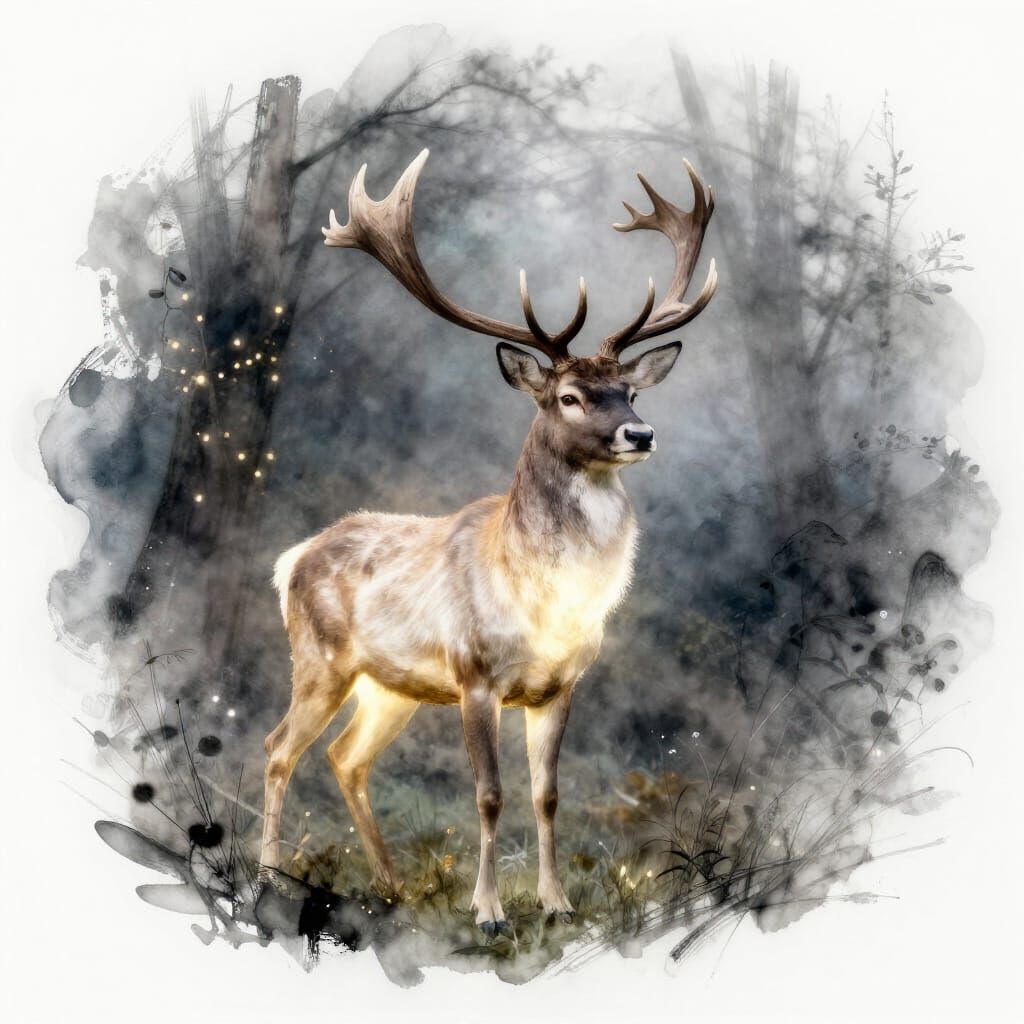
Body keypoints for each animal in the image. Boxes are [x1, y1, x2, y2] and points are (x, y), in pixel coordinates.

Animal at [260, 148, 718, 933]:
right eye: (568, 397)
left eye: (631, 391)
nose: (640, 433)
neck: (544, 596)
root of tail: (293, 558)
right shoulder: (476, 675)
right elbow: (489, 794)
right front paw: (488, 911)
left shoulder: (560, 684)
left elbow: (547, 794)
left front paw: (557, 903)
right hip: (319, 660)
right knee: (277, 749)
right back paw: (263, 877)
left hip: (391, 686)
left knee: (347, 758)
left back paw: (392, 885)